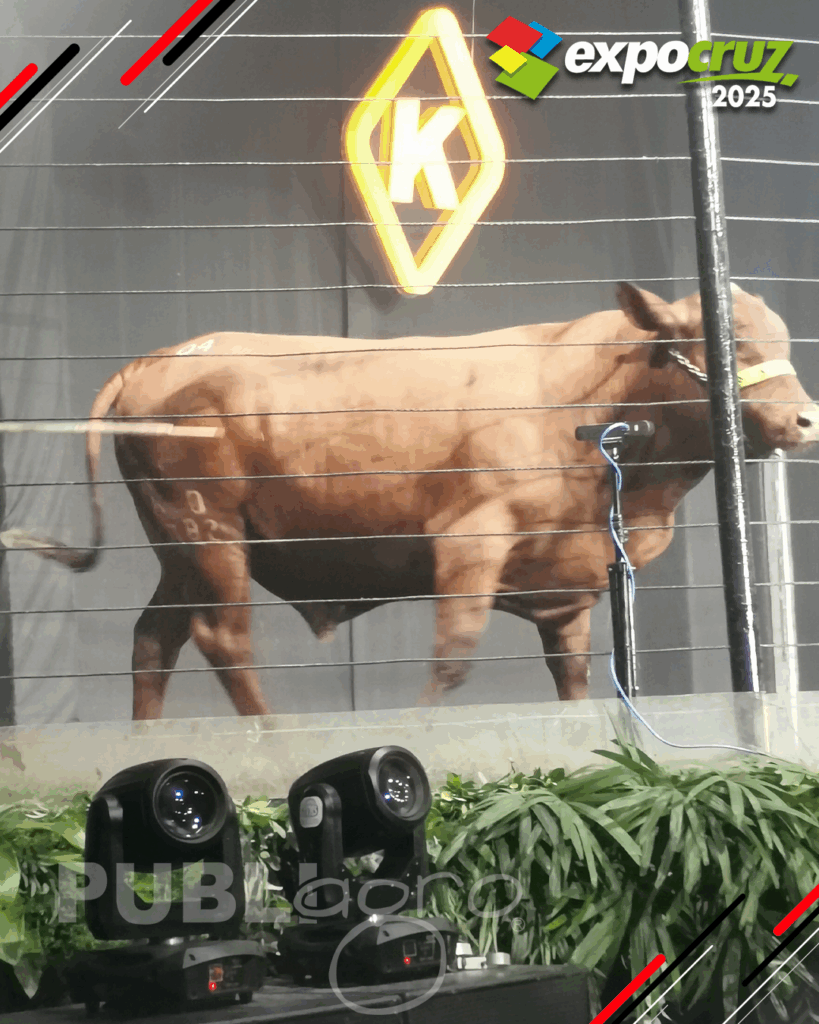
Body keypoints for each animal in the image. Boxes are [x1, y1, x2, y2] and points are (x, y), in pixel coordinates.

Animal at [2, 282, 817, 720]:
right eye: (724, 345)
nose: (804, 420)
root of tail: (158, 359)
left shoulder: (569, 583)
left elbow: (573, 675)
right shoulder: (469, 539)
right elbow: (453, 657)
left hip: (178, 547)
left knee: (154, 640)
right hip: (207, 529)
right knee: (223, 640)